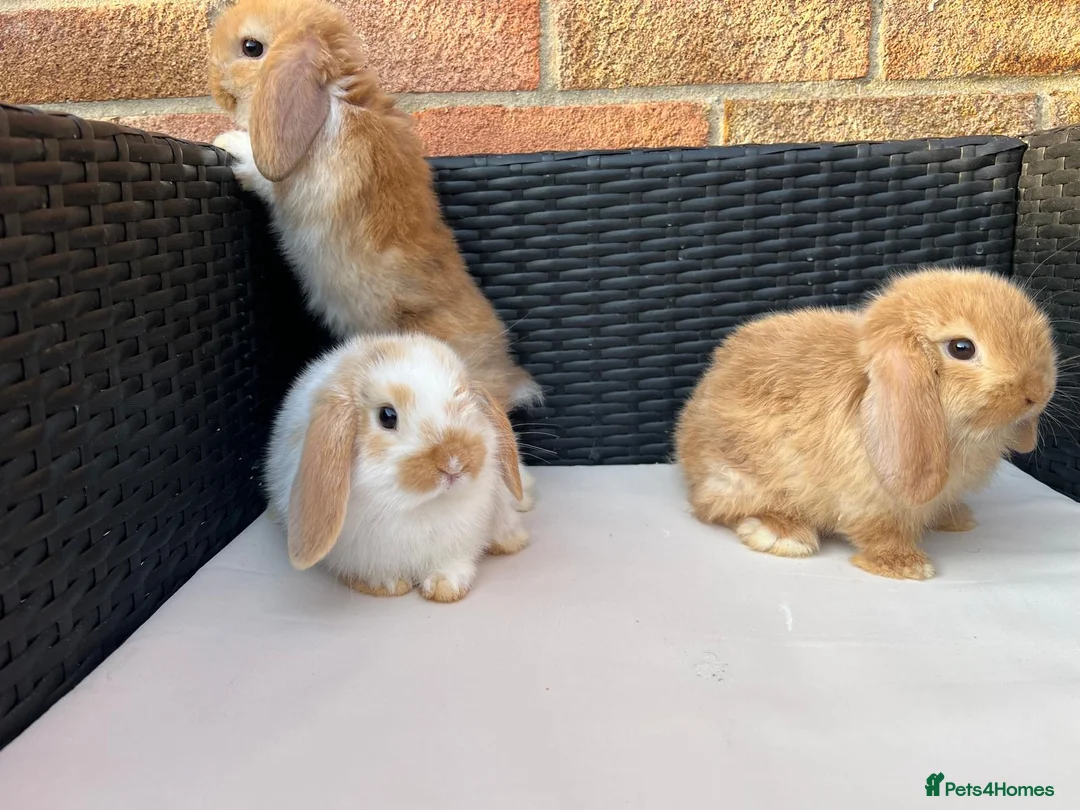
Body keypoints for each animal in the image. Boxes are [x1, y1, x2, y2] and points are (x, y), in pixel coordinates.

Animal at [207, 0, 541, 416]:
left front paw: (229, 142)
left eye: (251, 47)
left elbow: (261, 173)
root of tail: (506, 381)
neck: (333, 99)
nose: (215, 85)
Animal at [264, 332, 530, 603]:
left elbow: (452, 565)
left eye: (464, 399)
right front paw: (388, 585)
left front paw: (445, 586)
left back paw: (511, 540)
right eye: (387, 416)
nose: (455, 461)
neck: (420, 506)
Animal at [675, 267, 1057, 581]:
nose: (1037, 392)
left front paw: (955, 518)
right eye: (962, 348)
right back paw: (783, 534)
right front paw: (907, 566)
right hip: (738, 478)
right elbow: (877, 530)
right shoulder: (866, 500)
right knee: (716, 508)